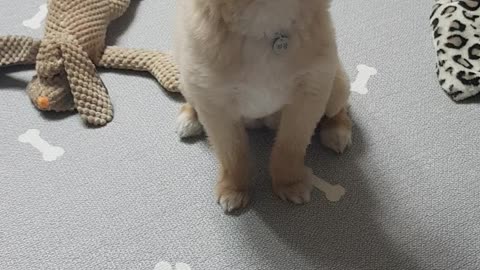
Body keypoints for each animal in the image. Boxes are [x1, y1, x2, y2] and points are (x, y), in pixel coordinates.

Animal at [174, 0, 350, 212]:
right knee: (190, 98)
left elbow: (290, 147)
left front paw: (289, 183)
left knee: (340, 109)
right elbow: (232, 155)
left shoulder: (310, 92)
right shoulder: (215, 104)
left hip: (336, 84)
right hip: (188, 80)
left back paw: (337, 130)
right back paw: (189, 117)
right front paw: (234, 189)